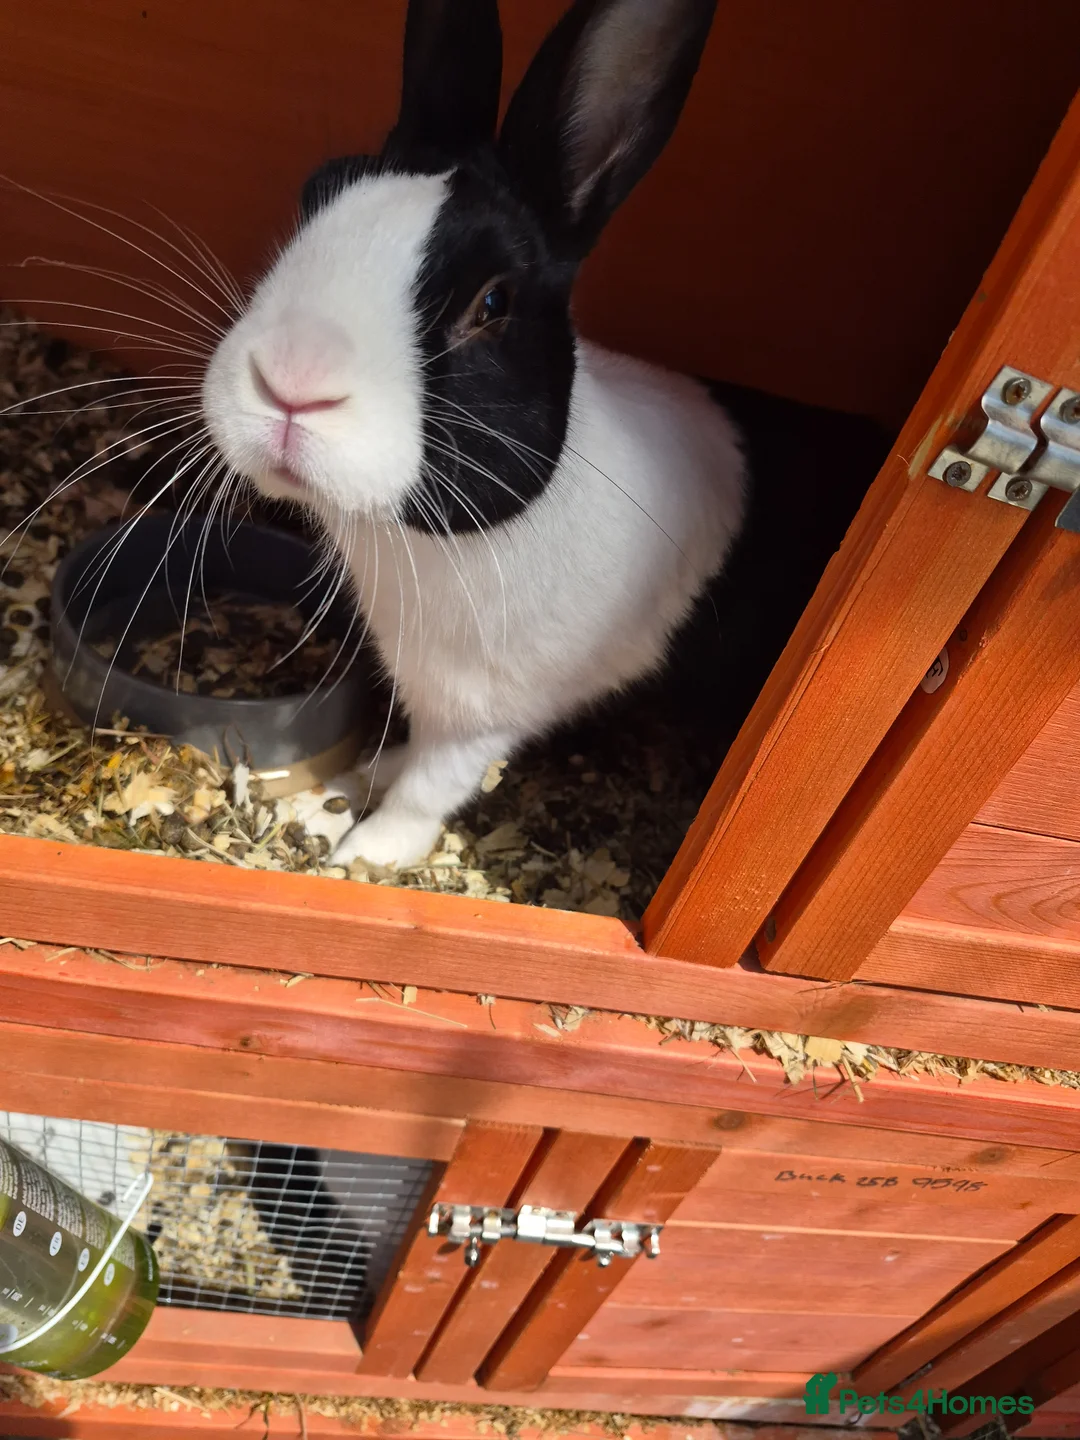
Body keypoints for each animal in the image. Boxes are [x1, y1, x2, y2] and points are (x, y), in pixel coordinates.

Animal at [201, 0, 750, 871]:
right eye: (314, 197)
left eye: (493, 302)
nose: (291, 380)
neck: (423, 544)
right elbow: (400, 757)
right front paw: (340, 791)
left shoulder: (484, 714)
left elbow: (430, 786)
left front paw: (364, 853)